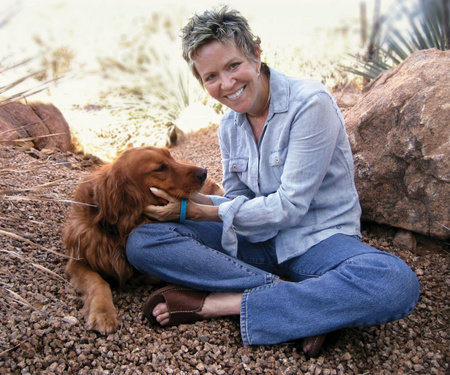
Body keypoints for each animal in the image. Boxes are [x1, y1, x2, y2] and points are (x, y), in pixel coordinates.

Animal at [63, 147, 223, 334]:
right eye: (160, 168)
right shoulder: (78, 260)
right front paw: (103, 313)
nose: (203, 172)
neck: (122, 226)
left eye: (171, 156)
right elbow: (97, 282)